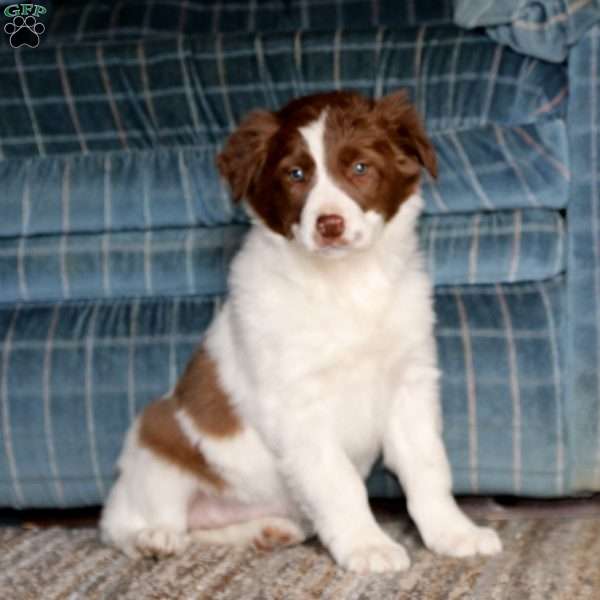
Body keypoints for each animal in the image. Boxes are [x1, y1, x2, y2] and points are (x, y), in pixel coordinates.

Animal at [102, 89, 502, 572]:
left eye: (360, 167)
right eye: (295, 175)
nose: (329, 225)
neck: (346, 285)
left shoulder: (410, 384)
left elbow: (427, 467)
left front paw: (454, 533)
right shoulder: (297, 407)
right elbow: (339, 482)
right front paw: (368, 546)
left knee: (204, 530)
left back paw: (265, 532)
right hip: (157, 446)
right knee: (122, 523)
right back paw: (152, 538)